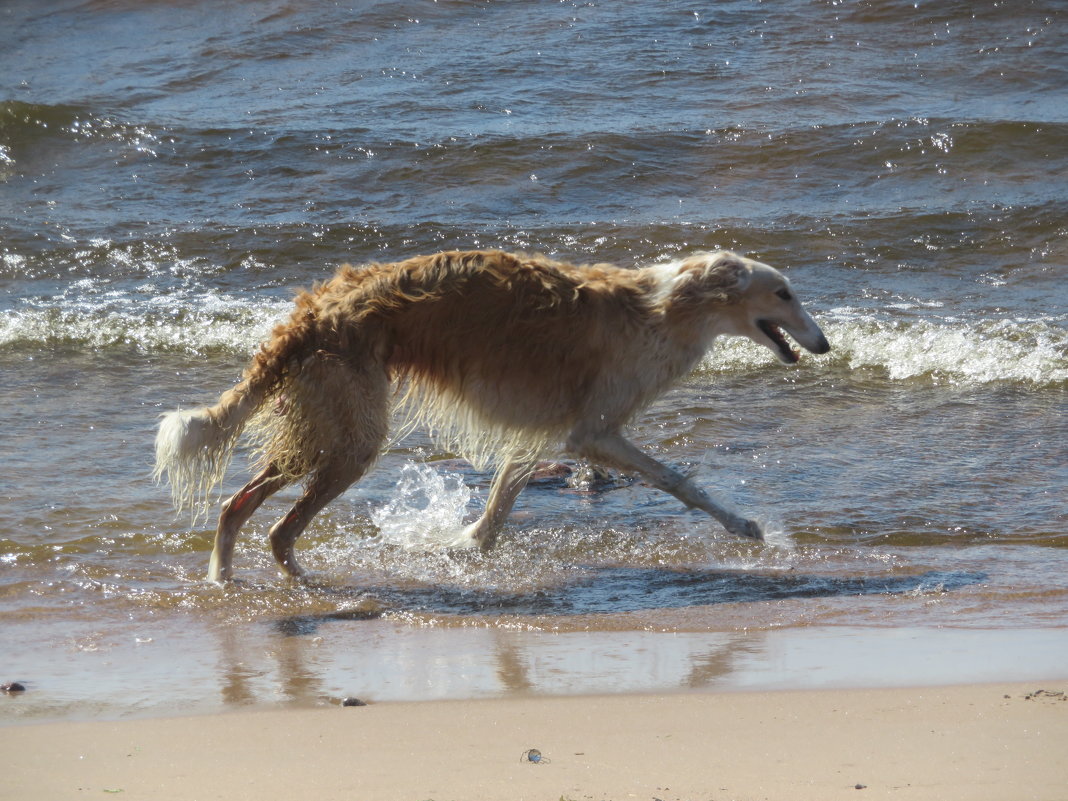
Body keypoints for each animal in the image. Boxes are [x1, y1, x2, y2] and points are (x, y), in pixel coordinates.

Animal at [154, 250, 828, 585]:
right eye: (784, 292)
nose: (824, 346)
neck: (665, 309)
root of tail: (313, 310)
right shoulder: (592, 432)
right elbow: (677, 480)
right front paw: (746, 528)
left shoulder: (542, 434)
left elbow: (502, 496)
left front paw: (469, 544)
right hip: (350, 437)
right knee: (276, 526)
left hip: (327, 427)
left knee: (237, 507)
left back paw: (224, 579)